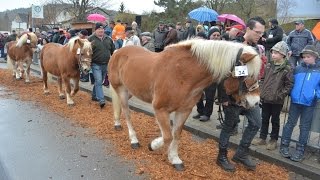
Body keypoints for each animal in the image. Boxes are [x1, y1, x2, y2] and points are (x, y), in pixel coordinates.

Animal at [109, 38, 262, 171]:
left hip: (130, 91)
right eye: (248, 75)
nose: (255, 102)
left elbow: (176, 134)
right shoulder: (160, 109)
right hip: (121, 90)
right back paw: (133, 140)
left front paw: (174, 159)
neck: (181, 74)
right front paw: (152, 145)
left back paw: (117, 123)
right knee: (127, 113)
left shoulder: (184, 111)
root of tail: (118, 51)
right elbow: (167, 136)